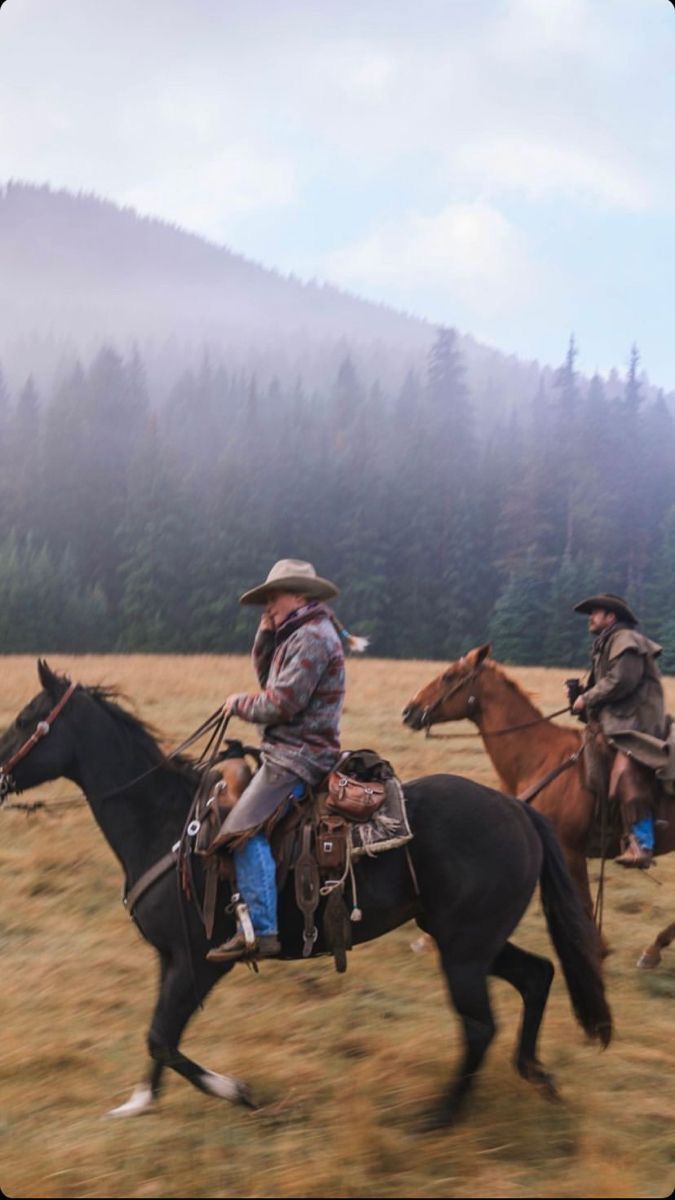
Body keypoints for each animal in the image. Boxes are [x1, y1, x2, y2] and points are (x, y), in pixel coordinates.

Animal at [0, 667, 610, 1123]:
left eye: (28, 719)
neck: (167, 823)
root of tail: (517, 809)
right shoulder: (171, 960)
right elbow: (157, 1038)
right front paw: (139, 1101)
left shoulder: (201, 961)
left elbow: (162, 1039)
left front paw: (235, 1091)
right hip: (470, 940)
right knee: (537, 976)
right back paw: (535, 1074)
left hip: (464, 950)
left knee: (481, 1025)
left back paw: (439, 1117)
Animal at [401, 643, 672, 960]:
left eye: (449, 676)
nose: (409, 711)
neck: (535, 759)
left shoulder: (569, 850)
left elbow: (581, 905)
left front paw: (595, 949)